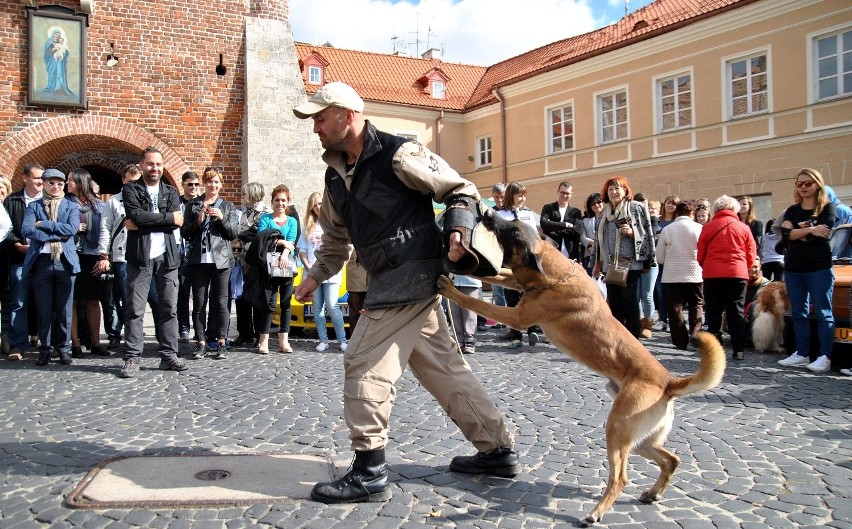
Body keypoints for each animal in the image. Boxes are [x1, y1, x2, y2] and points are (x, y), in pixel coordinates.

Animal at [440, 208, 724, 524]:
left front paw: (450, 288)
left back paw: (596, 513)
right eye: (510, 223)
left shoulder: (517, 316)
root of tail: (668, 381)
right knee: (671, 460)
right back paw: (653, 493)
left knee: (620, 478)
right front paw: (455, 264)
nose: (487, 211)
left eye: (513, 230)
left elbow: (480, 304)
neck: (555, 277)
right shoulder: (516, 280)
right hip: (641, 440)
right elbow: (498, 274)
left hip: (617, 430)